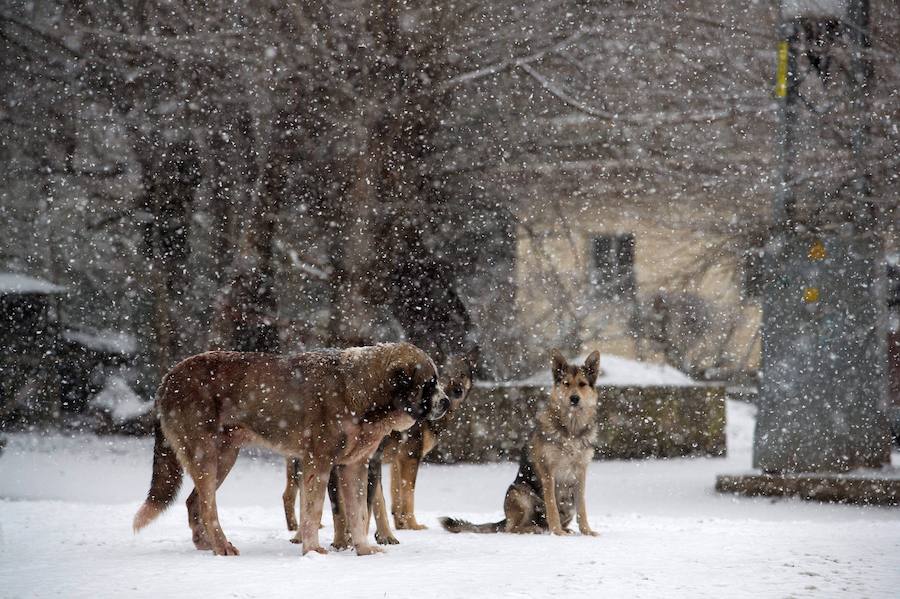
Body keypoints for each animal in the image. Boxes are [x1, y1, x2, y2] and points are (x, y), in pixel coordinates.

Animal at [134, 342, 450, 556]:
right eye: (429, 384)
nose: (446, 402)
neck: (360, 392)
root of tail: (167, 379)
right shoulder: (318, 464)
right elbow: (314, 511)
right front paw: (312, 550)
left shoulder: (355, 466)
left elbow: (359, 512)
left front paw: (363, 549)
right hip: (206, 457)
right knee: (208, 507)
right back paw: (221, 546)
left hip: (225, 458)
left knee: (194, 502)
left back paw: (205, 544)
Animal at [284, 352, 478, 548]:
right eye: (443, 375)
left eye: (462, 374)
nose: (455, 392)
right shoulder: (410, 458)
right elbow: (405, 497)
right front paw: (412, 526)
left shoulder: (393, 462)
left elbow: (391, 498)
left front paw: (396, 527)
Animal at [440, 350, 600, 536]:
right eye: (566, 384)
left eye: (582, 384)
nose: (574, 399)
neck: (571, 430)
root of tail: (504, 519)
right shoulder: (548, 473)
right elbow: (552, 506)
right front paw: (557, 532)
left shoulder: (581, 472)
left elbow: (582, 507)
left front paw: (586, 531)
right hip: (520, 493)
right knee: (513, 528)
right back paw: (536, 529)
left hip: (567, 504)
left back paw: (561, 529)